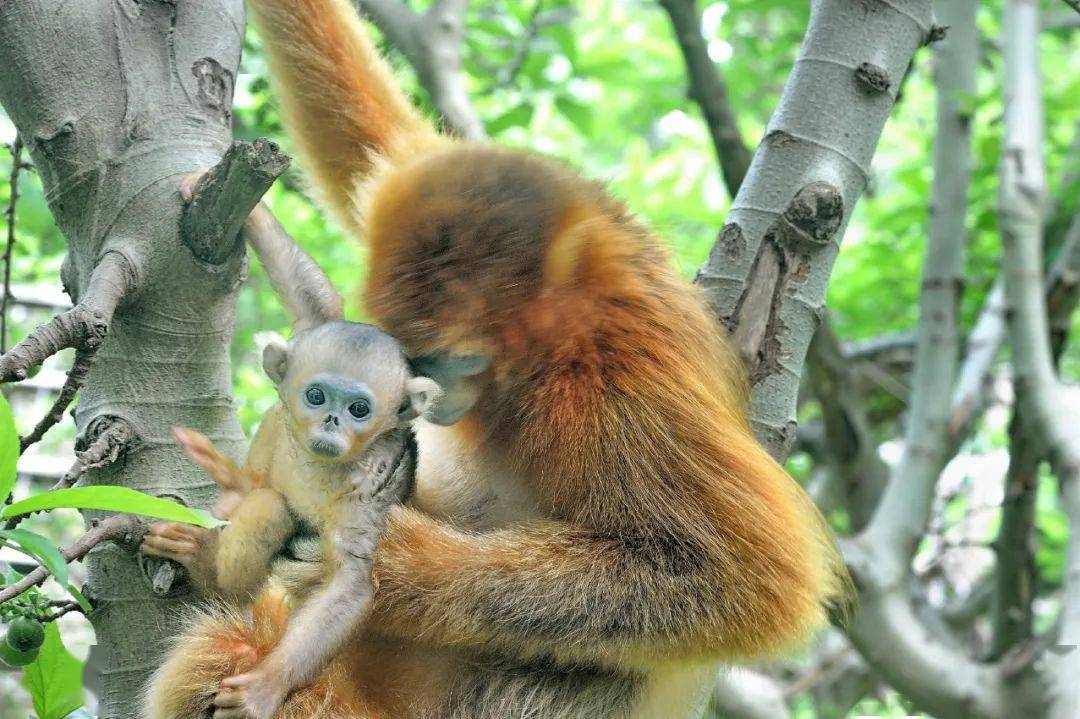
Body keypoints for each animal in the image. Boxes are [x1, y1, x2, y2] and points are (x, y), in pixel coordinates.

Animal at [142, 319, 438, 716]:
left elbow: (349, 584)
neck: (319, 466)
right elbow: (254, 482)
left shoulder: (372, 480)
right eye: (316, 397)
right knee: (268, 505)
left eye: (359, 409)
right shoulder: (274, 422)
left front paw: (262, 689)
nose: (331, 421)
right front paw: (227, 477)